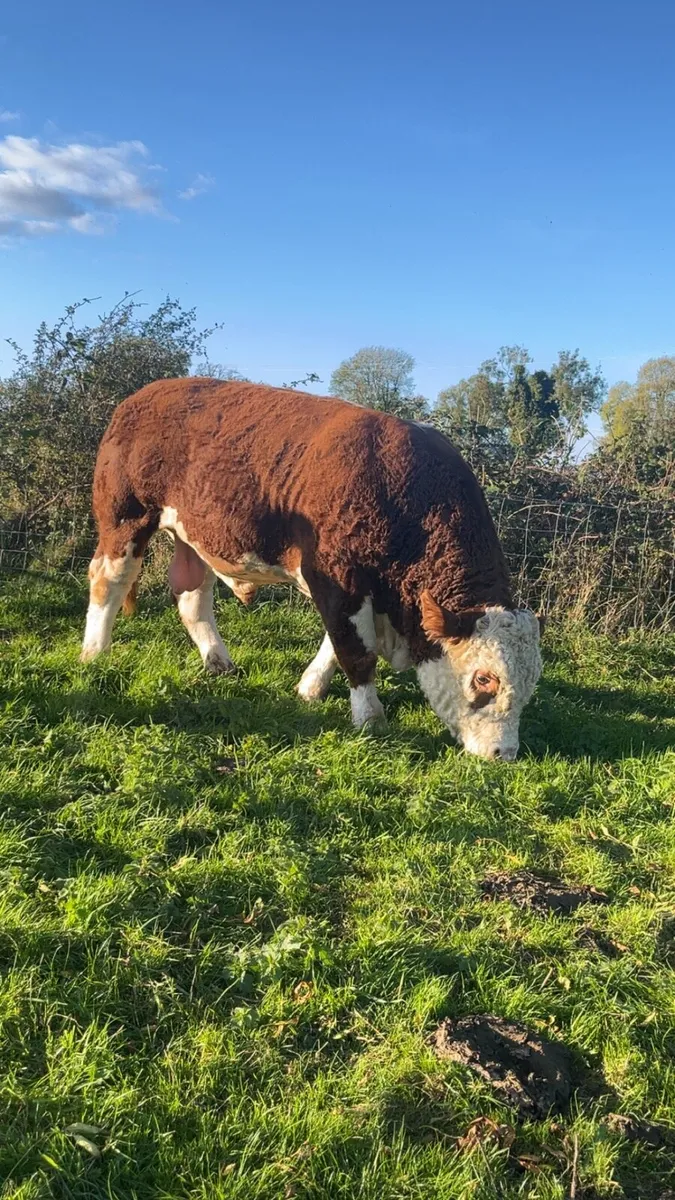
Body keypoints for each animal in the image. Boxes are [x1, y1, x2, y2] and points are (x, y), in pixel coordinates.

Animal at [81, 378, 543, 760]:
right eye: (484, 680)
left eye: (531, 683)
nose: (505, 754)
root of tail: (144, 395)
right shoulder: (339, 577)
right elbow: (354, 651)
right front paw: (370, 718)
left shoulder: (349, 589)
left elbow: (334, 644)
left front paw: (310, 688)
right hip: (125, 518)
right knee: (108, 581)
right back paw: (94, 653)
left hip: (195, 535)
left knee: (192, 598)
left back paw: (219, 662)